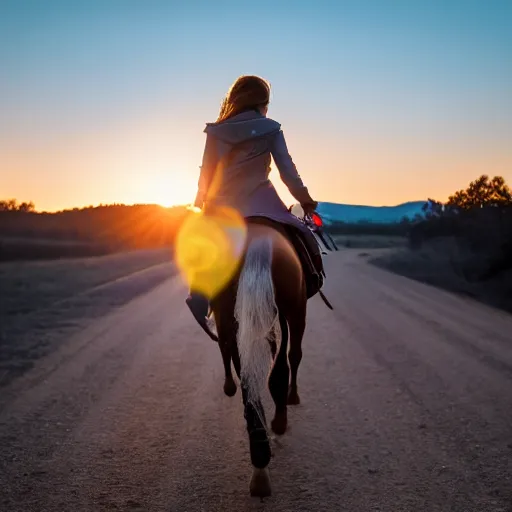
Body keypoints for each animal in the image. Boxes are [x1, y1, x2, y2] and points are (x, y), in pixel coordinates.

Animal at [210, 220, 306, 496]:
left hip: (234, 313)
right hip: (292, 309)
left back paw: (260, 460)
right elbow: (293, 356)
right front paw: (292, 397)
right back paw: (277, 425)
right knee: (283, 363)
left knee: (245, 371)